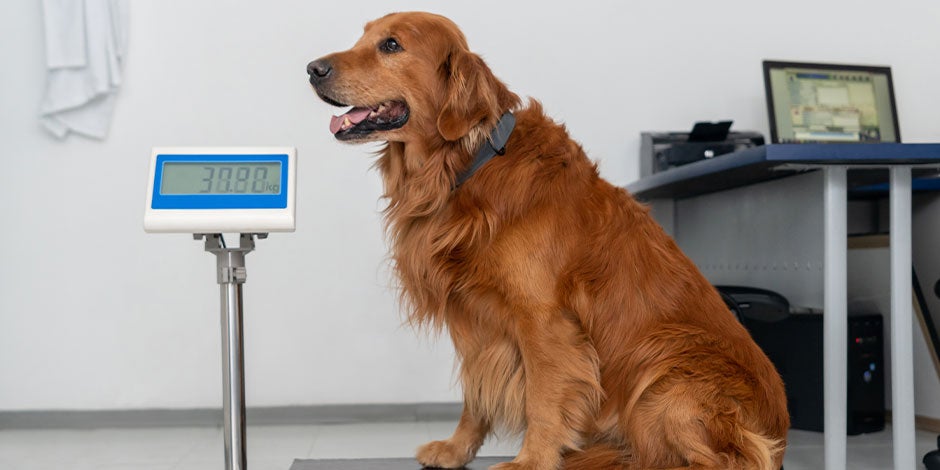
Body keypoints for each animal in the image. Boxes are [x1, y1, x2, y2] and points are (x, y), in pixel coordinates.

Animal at [306, 11, 784, 470]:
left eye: (391, 45)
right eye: (362, 37)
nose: (312, 69)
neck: (468, 164)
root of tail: (780, 432)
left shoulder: (543, 321)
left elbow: (543, 400)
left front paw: (532, 460)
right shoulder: (475, 320)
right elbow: (475, 397)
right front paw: (457, 450)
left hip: (664, 360)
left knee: (729, 460)